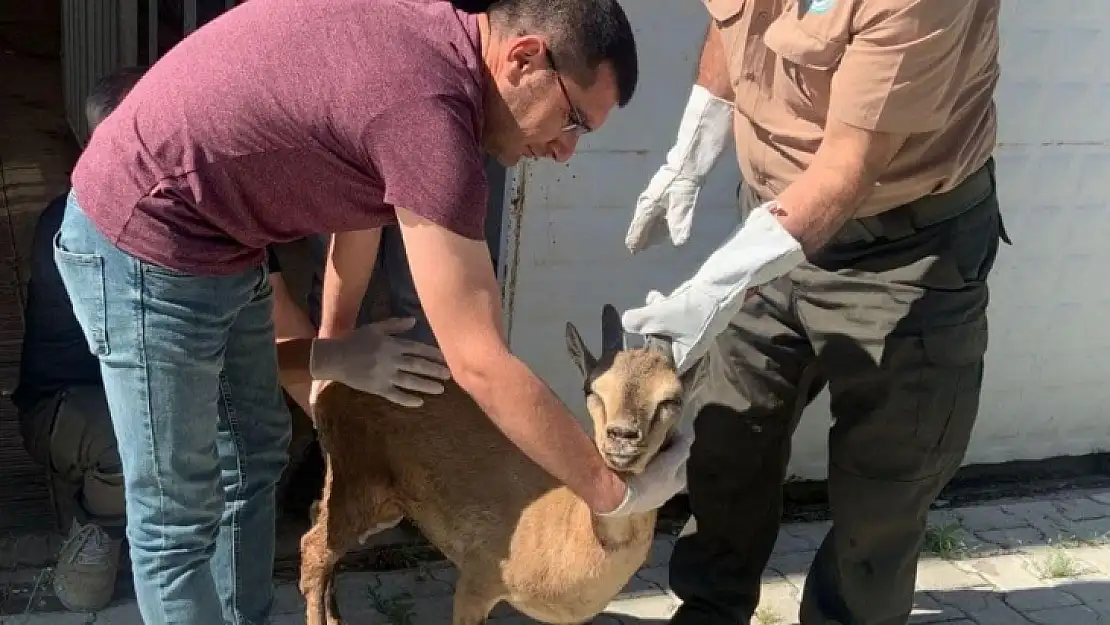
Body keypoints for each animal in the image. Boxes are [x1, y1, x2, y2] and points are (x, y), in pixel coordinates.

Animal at [304, 306, 683, 625]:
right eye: (592, 388)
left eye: (672, 398)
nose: (623, 437)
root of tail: (331, 389)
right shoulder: (478, 576)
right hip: (358, 484)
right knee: (313, 550)